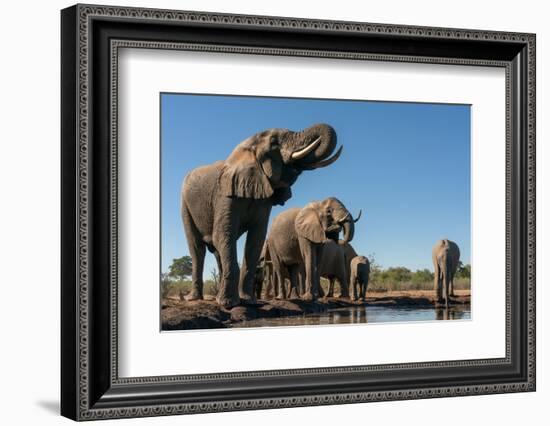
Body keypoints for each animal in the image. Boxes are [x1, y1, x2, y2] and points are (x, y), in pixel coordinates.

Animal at [183, 122, 342, 306]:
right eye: (273, 142)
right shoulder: (225, 194)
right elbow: (224, 234)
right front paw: (228, 304)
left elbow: (256, 239)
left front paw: (248, 301)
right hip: (185, 205)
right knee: (197, 249)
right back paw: (194, 298)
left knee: (216, 251)